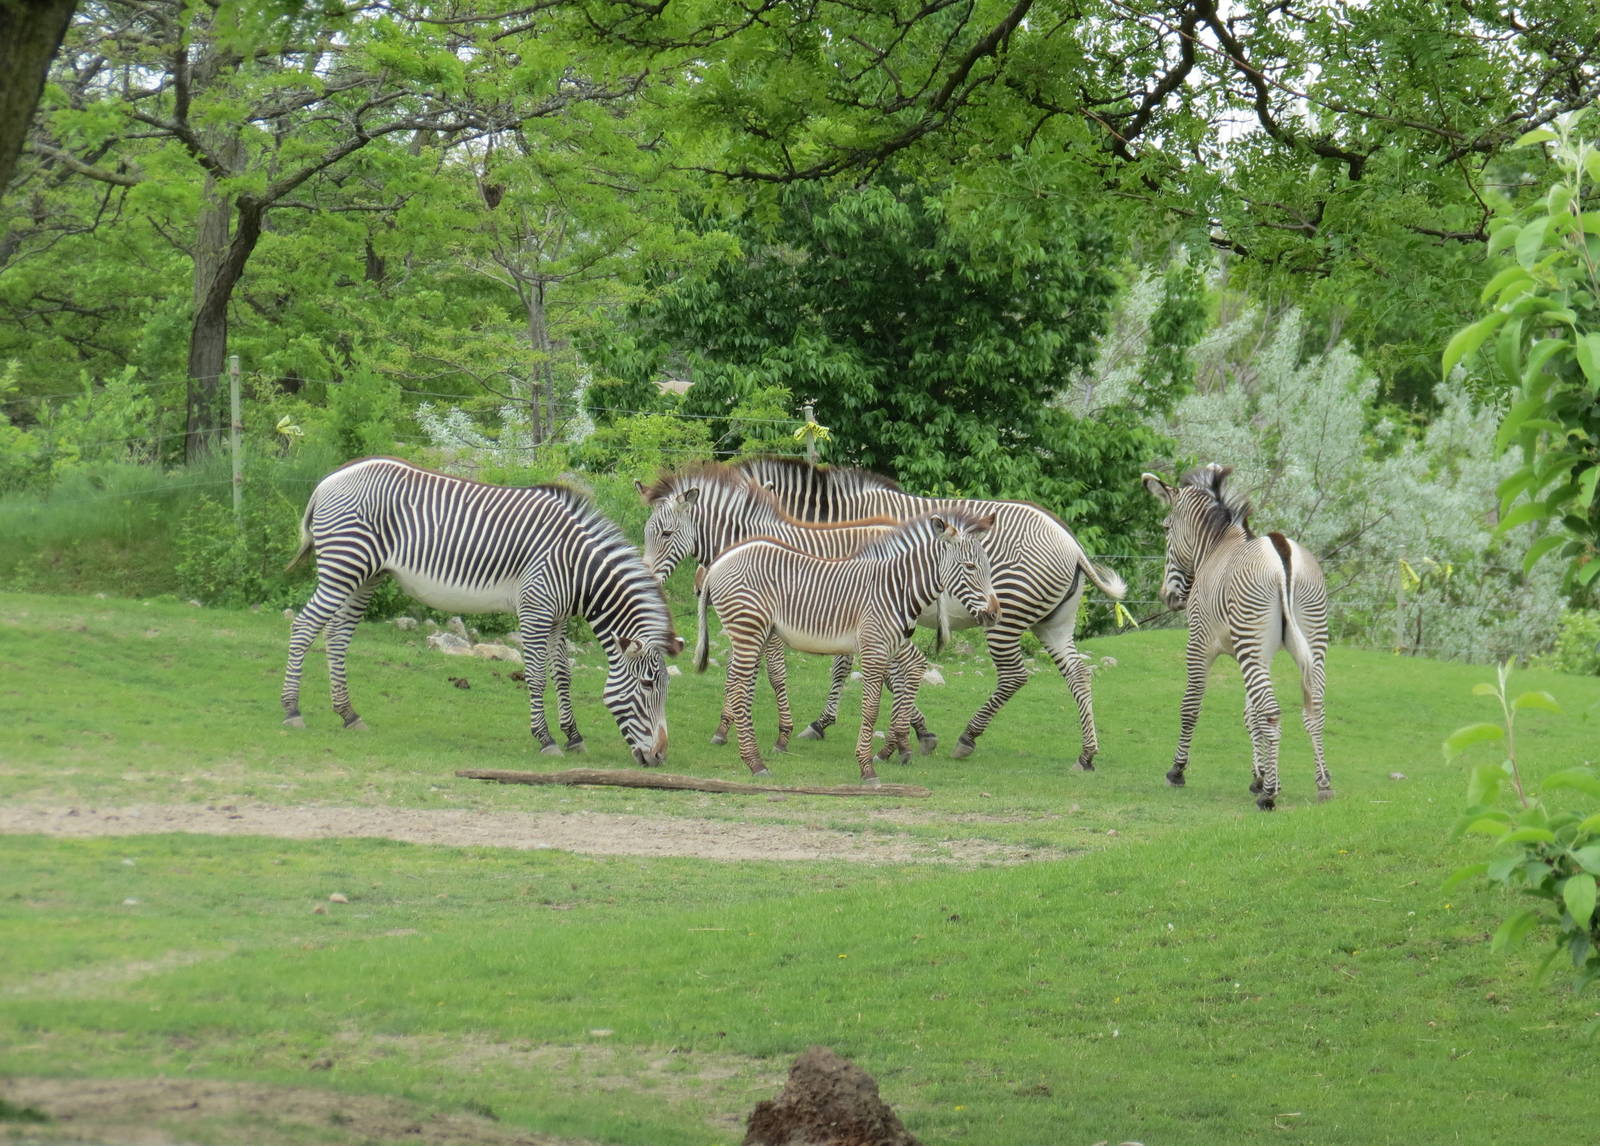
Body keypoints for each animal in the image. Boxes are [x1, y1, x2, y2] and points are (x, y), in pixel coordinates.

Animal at [281, 457, 682, 766]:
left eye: (665, 686)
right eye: (648, 685)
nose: (660, 757)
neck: (577, 566)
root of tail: (329, 479)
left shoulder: (557, 617)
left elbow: (563, 675)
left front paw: (574, 736)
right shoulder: (535, 610)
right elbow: (536, 676)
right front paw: (546, 739)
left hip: (365, 576)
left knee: (336, 636)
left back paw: (349, 714)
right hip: (344, 566)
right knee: (304, 627)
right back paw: (292, 711)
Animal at [637, 466, 938, 753]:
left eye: (666, 534)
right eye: (646, 534)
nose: (699, 588)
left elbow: (774, 674)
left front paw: (781, 733)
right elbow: (738, 670)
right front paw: (727, 724)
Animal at [694, 511, 999, 785]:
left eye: (987, 567)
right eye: (970, 567)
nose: (994, 614)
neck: (896, 588)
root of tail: (719, 563)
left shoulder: (890, 646)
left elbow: (900, 684)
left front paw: (892, 748)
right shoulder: (874, 649)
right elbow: (872, 709)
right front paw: (867, 768)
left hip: (755, 632)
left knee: (739, 687)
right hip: (748, 629)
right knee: (739, 690)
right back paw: (755, 762)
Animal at [731, 456, 1128, 768]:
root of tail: (1071, 541)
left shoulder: (847, 599)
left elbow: (845, 665)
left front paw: (825, 723)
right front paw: (910, 730)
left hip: (1006, 615)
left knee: (1014, 676)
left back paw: (968, 738)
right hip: (1053, 623)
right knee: (1079, 675)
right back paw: (1086, 754)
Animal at [1141, 464, 1330, 810]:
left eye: (1165, 528)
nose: (1168, 597)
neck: (1215, 547)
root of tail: (1281, 550)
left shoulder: (1200, 644)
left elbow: (1191, 705)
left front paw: (1177, 771)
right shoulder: (1258, 655)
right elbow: (1250, 714)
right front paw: (1261, 777)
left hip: (1251, 646)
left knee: (1272, 712)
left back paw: (1269, 798)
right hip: (1310, 642)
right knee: (1314, 706)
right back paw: (1323, 783)